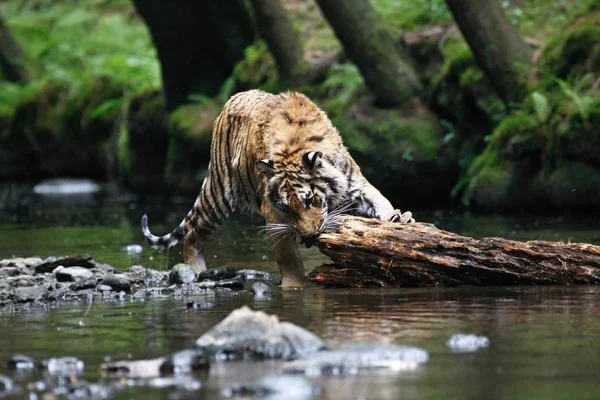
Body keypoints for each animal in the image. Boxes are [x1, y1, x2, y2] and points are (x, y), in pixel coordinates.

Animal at [141, 89, 414, 286]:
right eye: (287, 207)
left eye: (310, 200)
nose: (309, 235)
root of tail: (231, 100)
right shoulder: (273, 214)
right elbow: (288, 256)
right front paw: (296, 286)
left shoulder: (357, 185)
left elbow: (381, 201)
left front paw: (399, 219)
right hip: (219, 193)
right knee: (191, 231)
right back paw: (195, 272)